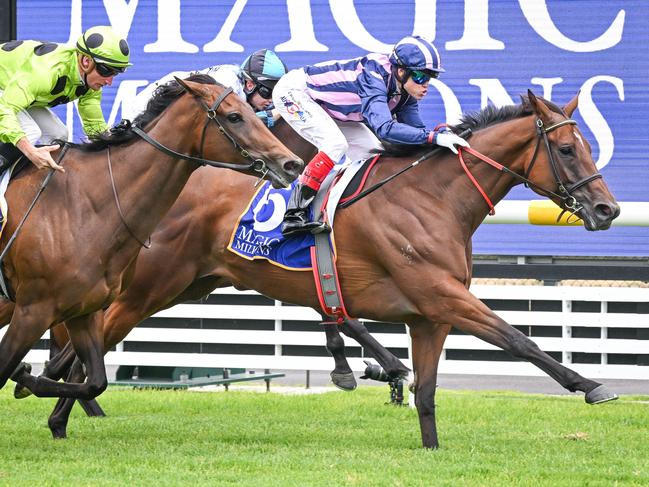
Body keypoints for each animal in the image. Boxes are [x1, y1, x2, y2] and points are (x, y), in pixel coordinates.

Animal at [0, 74, 304, 404]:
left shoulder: (83, 310)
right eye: (235, 117)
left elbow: (95, 381)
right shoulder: (33, 310)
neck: (86, 204)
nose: (292, 164)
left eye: (255, 113)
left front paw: (27, 379)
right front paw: (25, 377)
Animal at [20, 91, 620, 450]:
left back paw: (54, 408)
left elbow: (427, 390)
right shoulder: (443, 295)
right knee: (85, 340)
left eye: (588, 144)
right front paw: (591, 385)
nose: (608, 209)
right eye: (567, 149)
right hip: (147, 288)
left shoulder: (429, 315)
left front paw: (428, 443)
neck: (435, 197)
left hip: (184, 284)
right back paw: (52, 401)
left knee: (81, 343)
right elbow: (519, 339)